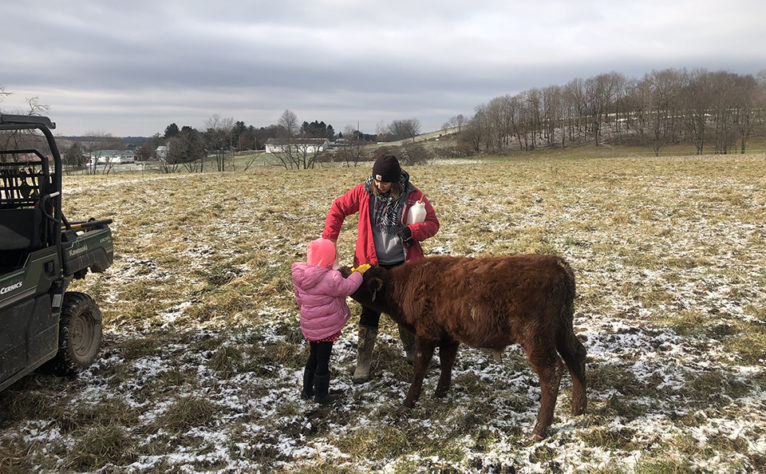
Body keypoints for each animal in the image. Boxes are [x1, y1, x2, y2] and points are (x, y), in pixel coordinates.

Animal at [348, 256, 588, 440]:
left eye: (359, 277)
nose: (342, 271)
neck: (405, 284)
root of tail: (556, 264)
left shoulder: (426, 334)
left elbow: (420, 368)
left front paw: (407, 404)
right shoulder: (449, 336)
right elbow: (447, 361)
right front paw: (440, 392)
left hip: (536, 338)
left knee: (551, 371)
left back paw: (539, 429)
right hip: (562, 330)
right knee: (577, 354)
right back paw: (579, 408)